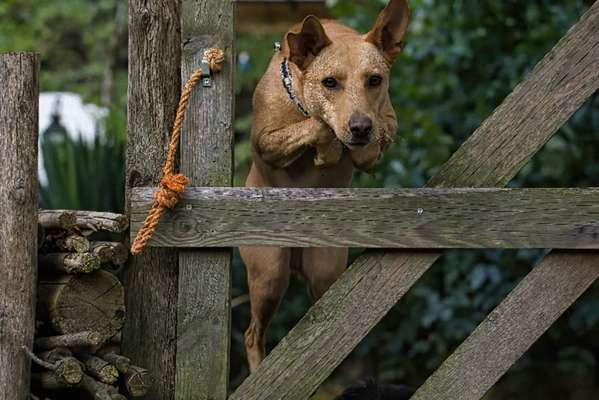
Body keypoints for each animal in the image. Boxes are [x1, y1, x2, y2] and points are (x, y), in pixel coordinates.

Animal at [241, 0, 410, 372]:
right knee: (252, 333)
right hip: (269, 271)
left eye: (375, 80)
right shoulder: (264, 143)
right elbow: (318, 125)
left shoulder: (389, 120)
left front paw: (357, 152)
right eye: (329, 82)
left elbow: (378, 132)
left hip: (325, 270)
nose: (359, 127)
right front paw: (329, 147)